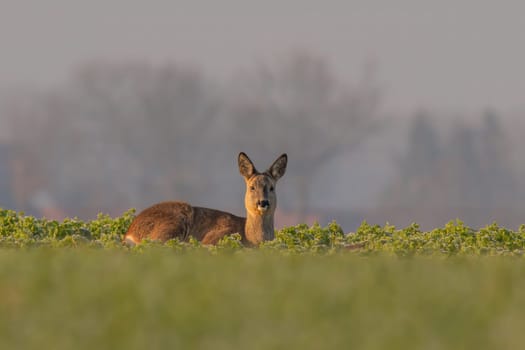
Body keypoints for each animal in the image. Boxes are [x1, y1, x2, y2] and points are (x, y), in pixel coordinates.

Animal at [124, 152, 286, 246]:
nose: (263, 202)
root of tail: (129, 232)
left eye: (272, 187)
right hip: (174, 222)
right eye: (252, 187)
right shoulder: (217, 236)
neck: (250, 238)